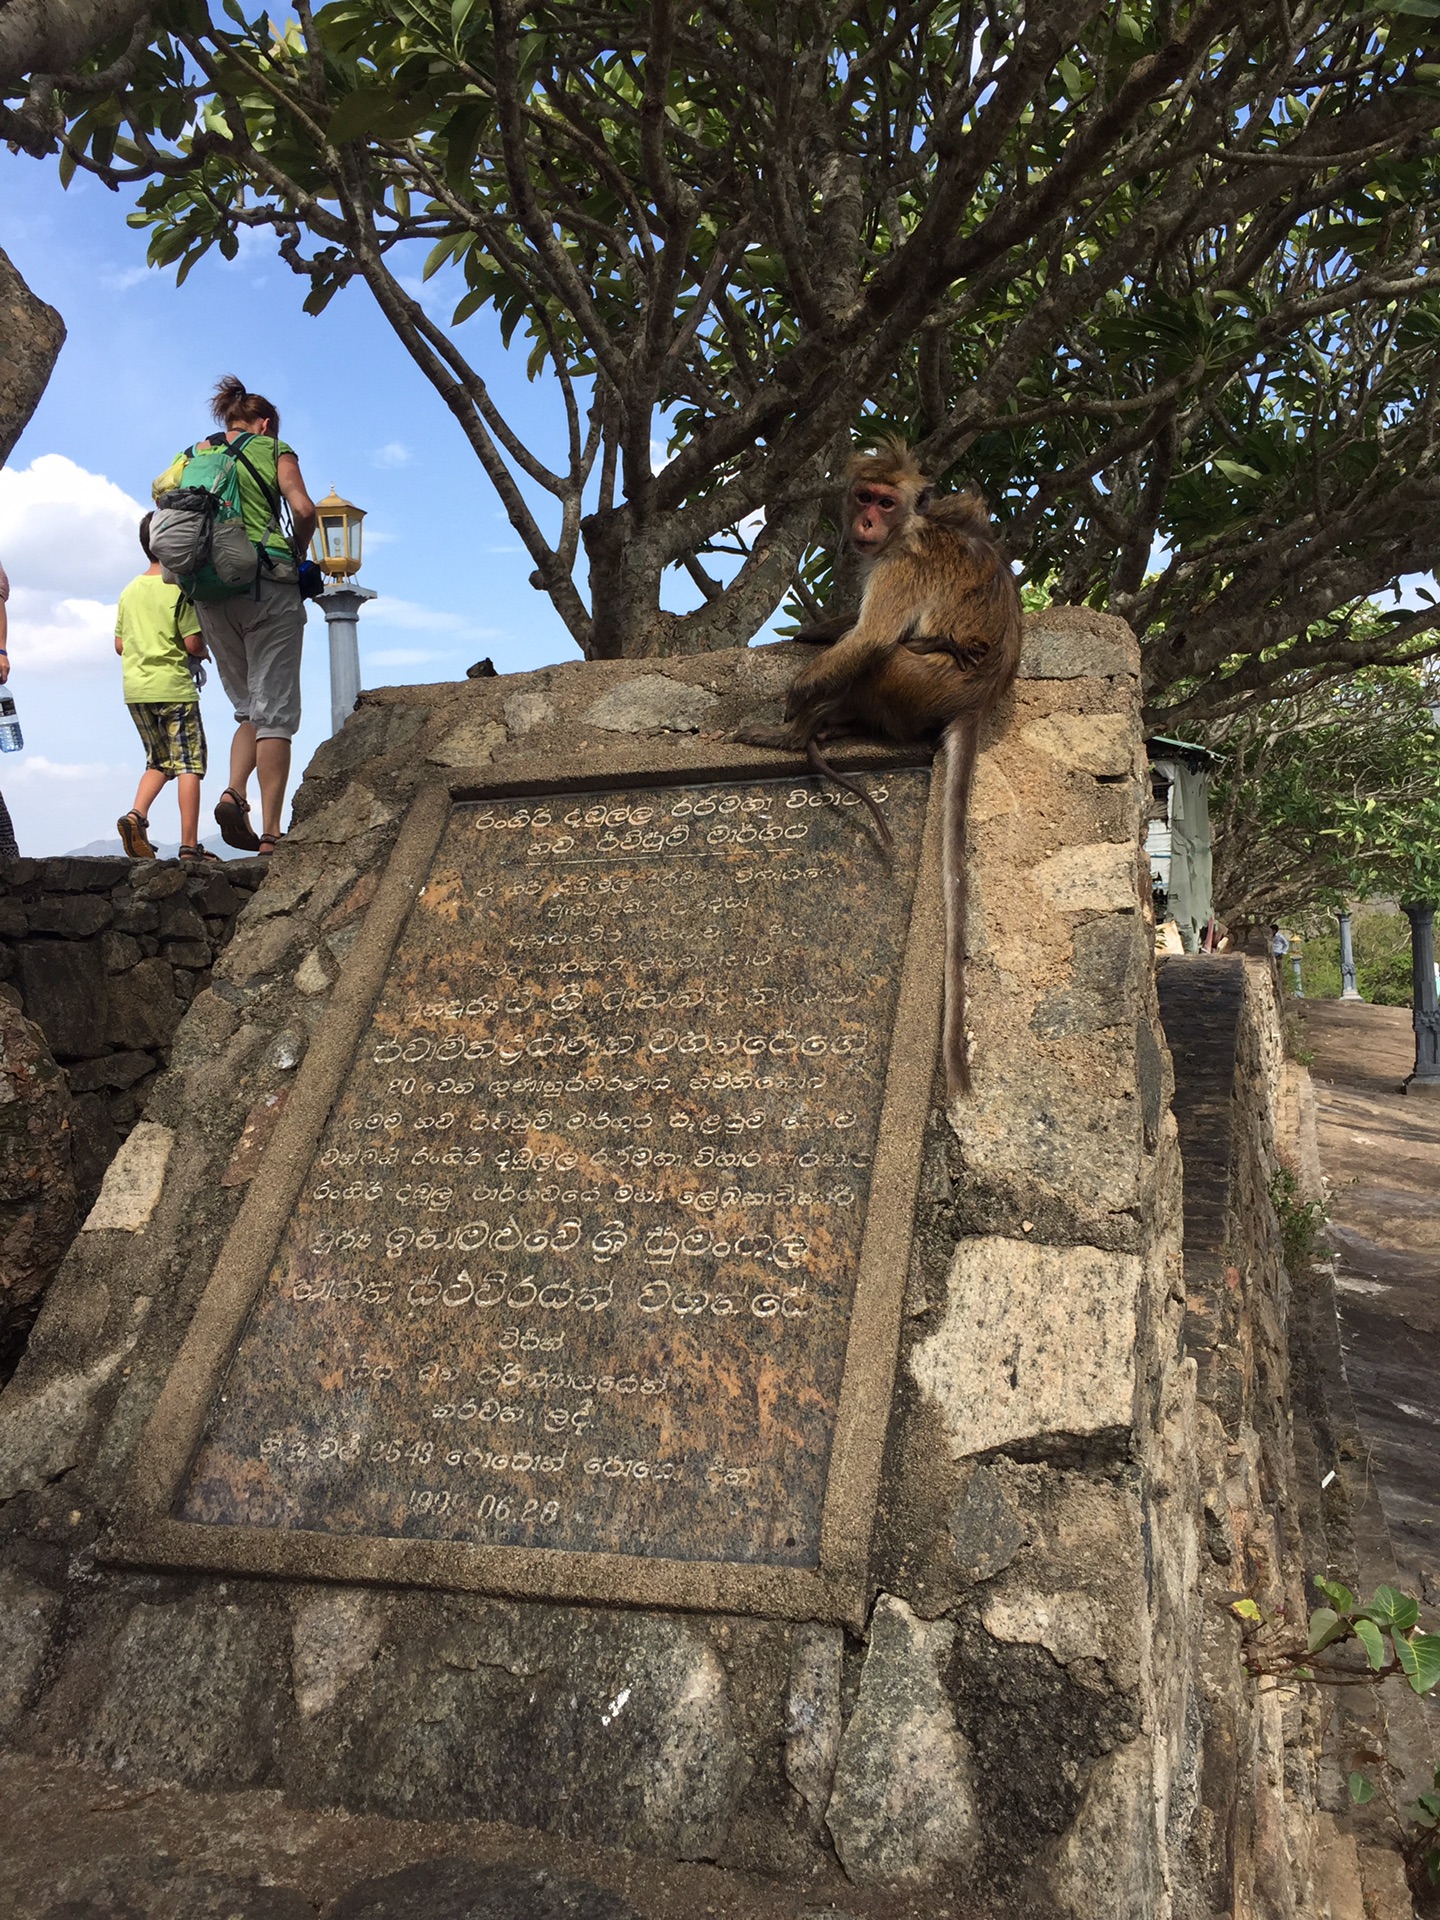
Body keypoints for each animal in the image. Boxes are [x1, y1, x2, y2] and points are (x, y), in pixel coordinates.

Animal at [744, 437, 1029, 1098]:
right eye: (864, 497)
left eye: (886, 502)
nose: (867, 523)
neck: (908, 531)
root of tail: (978, 699)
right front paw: (816, 631)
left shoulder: (901, 567)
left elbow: (870, 637)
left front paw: (794, 700)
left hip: (917, 682)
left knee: (889, 654)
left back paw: (803, 731)